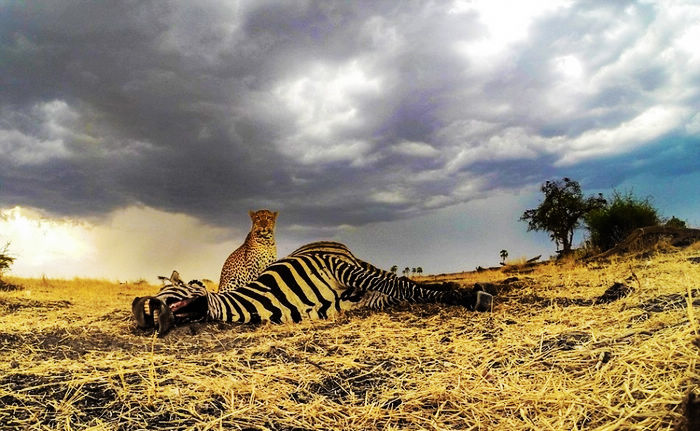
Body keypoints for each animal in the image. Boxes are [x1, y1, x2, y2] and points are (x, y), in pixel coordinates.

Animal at [133, 241, 492, 336]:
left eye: (173, 294)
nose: (143, 308)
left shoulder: (335, 269)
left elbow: (400, 286)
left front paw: (466, 295)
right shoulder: (334, 306)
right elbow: (385, 295)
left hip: (347, 264)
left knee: (393, 281)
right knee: (387, 289)